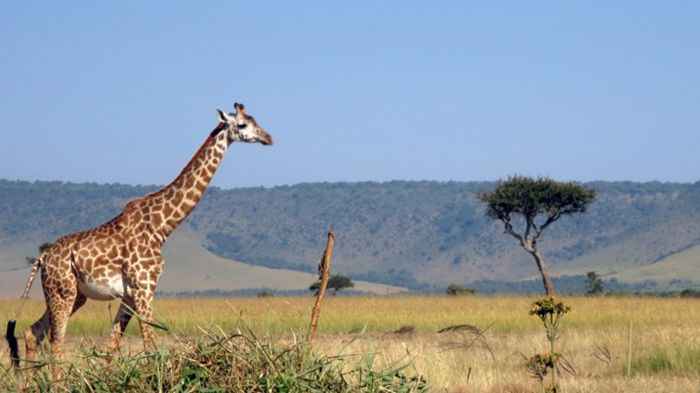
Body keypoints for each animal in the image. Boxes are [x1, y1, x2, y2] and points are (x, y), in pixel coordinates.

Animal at [19, 102, 270, 366]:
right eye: (242, 124)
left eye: (256, 120)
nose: (268, 138)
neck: (162, 226)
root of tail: (42, 258)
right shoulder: (145, 287)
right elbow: (150, 344)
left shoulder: (130, 294)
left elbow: (112, 347)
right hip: (62, 291)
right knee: (56, 342)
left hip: (73, 294)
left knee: (33, 332)